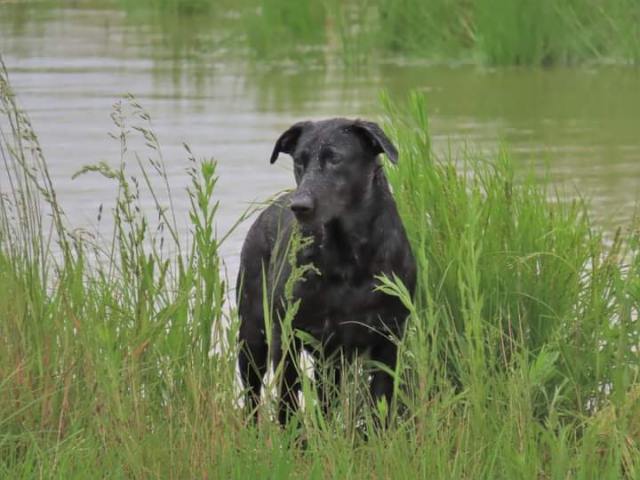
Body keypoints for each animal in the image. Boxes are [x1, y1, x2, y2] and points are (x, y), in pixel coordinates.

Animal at [238, 119, 418, 424]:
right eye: (299, 161)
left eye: (336, 159)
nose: (300, 205)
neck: (347, 258)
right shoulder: (288, 337)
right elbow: (288, 400)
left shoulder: (388, 338)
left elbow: (380, 403)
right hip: (251, 338)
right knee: (252, 396)